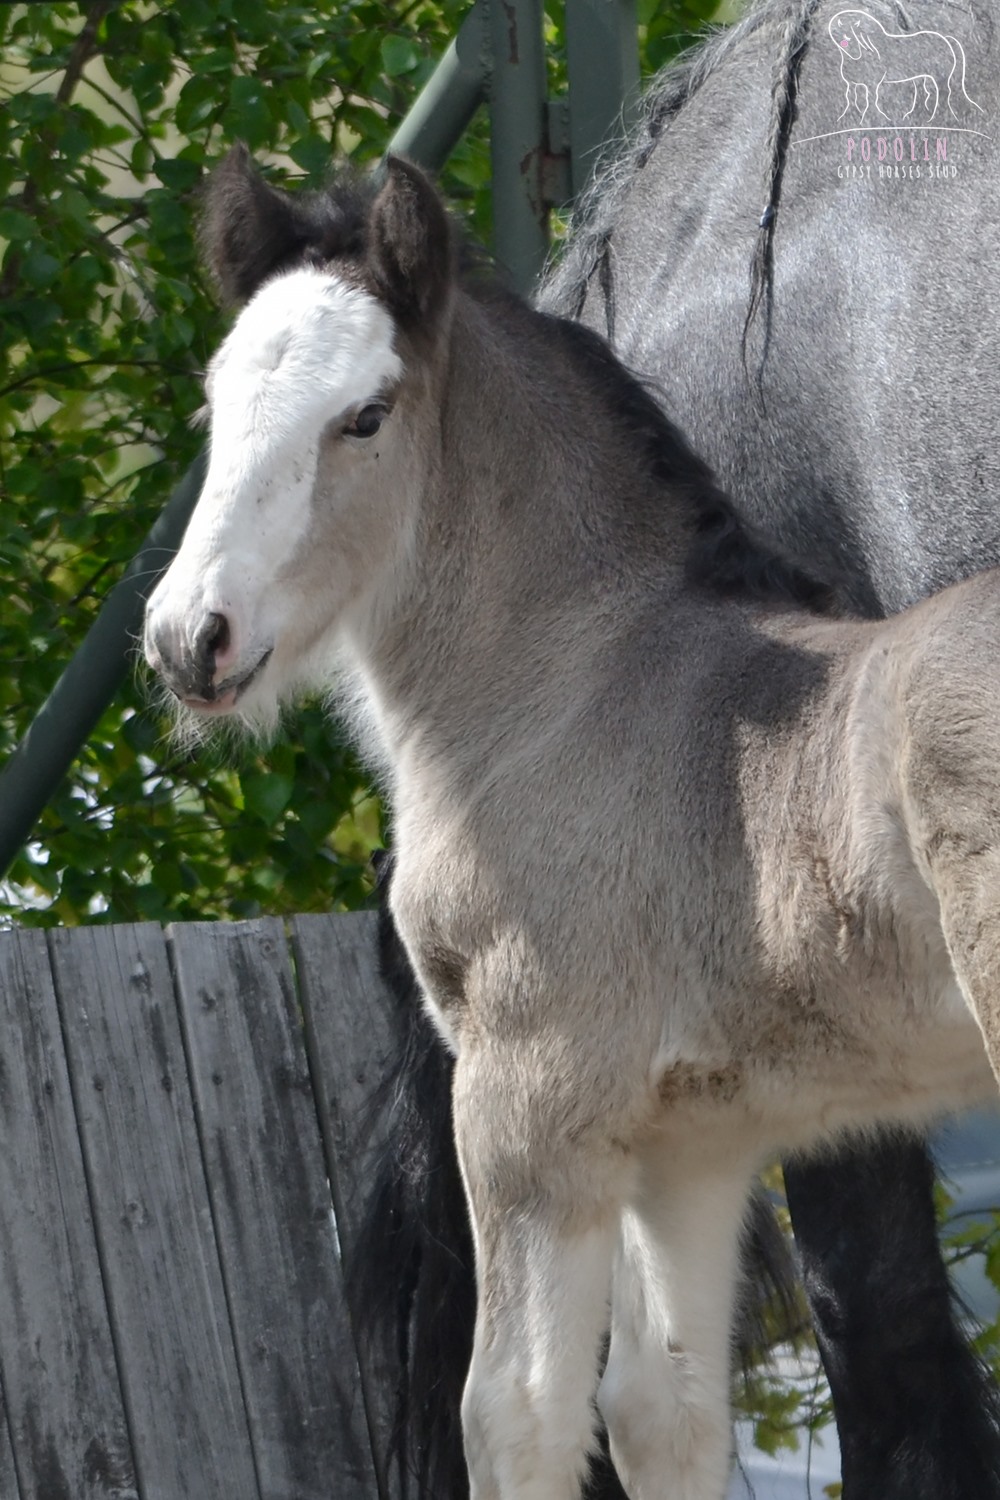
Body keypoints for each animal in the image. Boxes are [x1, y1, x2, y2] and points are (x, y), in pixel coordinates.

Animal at [144, 155, 1000, 1500]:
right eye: (217, 403)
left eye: (367, 414)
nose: (193, 641)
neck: (579, 681)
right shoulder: (692, 1145)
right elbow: (662, 1409)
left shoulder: (525, 1098)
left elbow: (518, 1412)